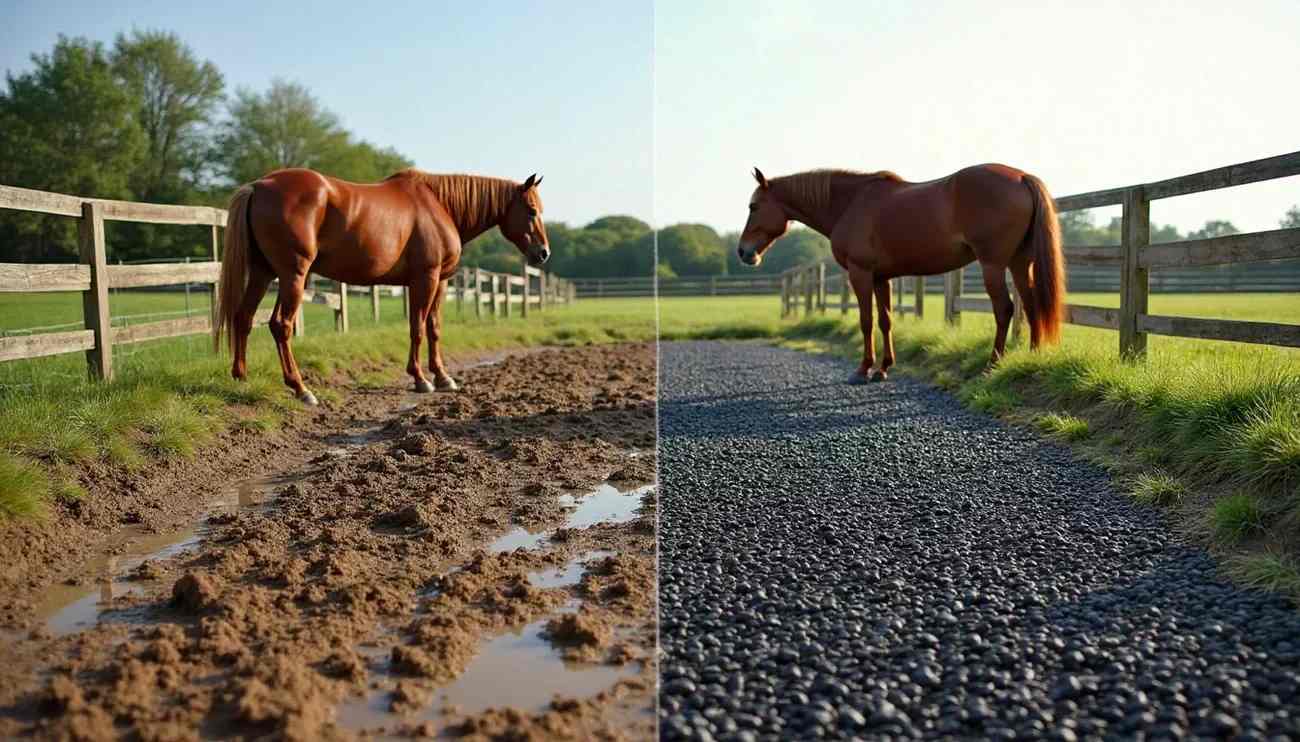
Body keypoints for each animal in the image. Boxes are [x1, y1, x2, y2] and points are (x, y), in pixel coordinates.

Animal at [214, 168, 548, 405]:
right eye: (532, 210)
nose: (543, 253)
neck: (439, 205)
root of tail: (259, 186)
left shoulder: (439, 282)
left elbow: (434, 328)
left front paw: (442, 377)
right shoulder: (425, 278)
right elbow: (417, 327)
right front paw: (421, 379)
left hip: (264, 273)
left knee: (244, 318)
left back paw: (242, 378)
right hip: (293, 275)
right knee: (281, 326)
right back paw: (301, 389)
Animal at [737, 164, 1065, 383]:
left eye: (754, 206)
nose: (743, 252)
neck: (850, 204)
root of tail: (1021, 177)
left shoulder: (860, 273)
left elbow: (866, 321)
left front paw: (863, 369)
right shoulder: (881, 278)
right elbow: (886, 321)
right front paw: (883, 368)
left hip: (993, 265)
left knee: (1004, 309)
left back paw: (992, 364)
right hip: (1019, 264)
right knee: (1031, 306)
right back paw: (1033, 357)